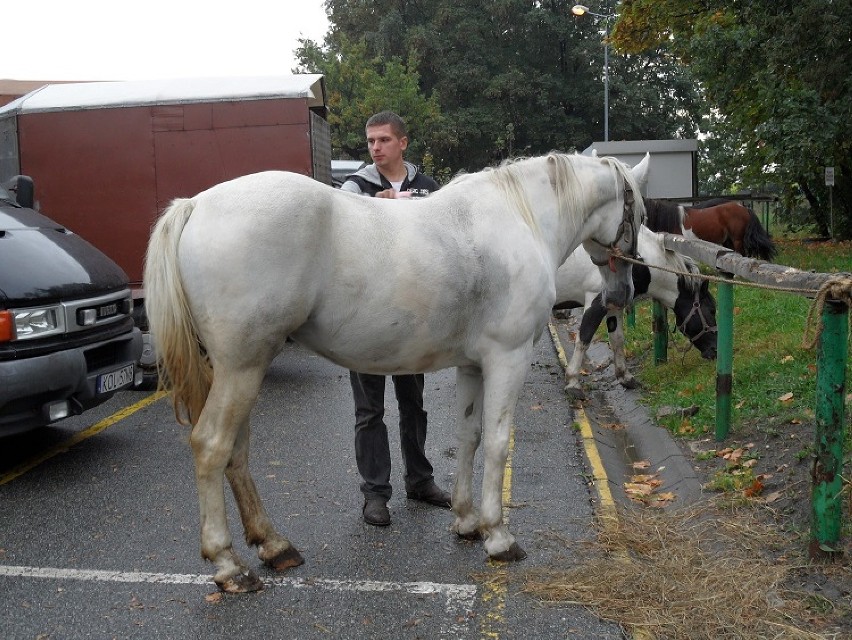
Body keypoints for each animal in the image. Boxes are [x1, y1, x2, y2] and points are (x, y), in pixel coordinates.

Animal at [143, 152, 648, 592]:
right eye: (639, 213)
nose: (624, 293)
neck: (520, 218)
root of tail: (196, 205)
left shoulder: (473, 364)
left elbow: (470, 436)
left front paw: (466, 521)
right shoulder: (508, 357)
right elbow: (498, 442)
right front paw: (499, 537)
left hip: (240, 370)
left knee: (237, 452)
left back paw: (274, 546)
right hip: (242, 367)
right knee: (212, 446)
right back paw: (228, 565)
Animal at [552, 224, 720, 396]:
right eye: (712, 310)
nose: (715, 350)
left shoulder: (613, 306)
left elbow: (617, 339)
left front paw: (625, 377)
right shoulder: (595, 302)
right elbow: (584, 339)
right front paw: (573, 382)